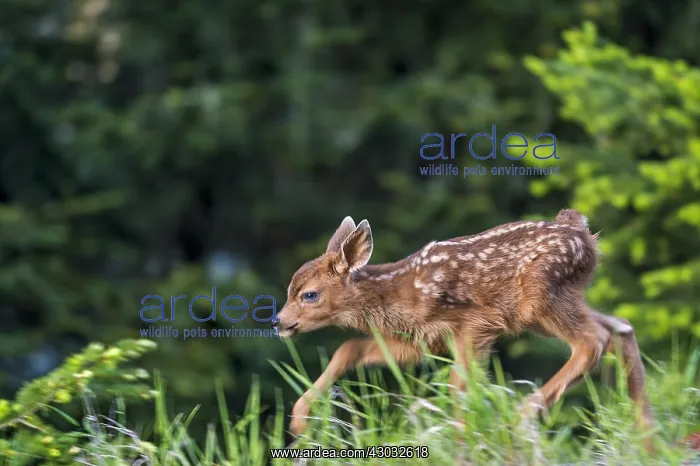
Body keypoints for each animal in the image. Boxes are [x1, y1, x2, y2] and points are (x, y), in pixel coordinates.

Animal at [273, 209, 655, 448]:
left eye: (309, 294)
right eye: (290, 287)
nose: (278, 321)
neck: (398, 293)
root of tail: (583, 230)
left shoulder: (477, 324)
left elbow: (460, 384)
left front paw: (465, 442)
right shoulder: (420, 340)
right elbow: (348, 348)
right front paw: (299, 421)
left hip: (543, 297)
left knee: (594, 341)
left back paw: (522, 414)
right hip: (548, 309)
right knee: (620, 327)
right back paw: (647, 439)